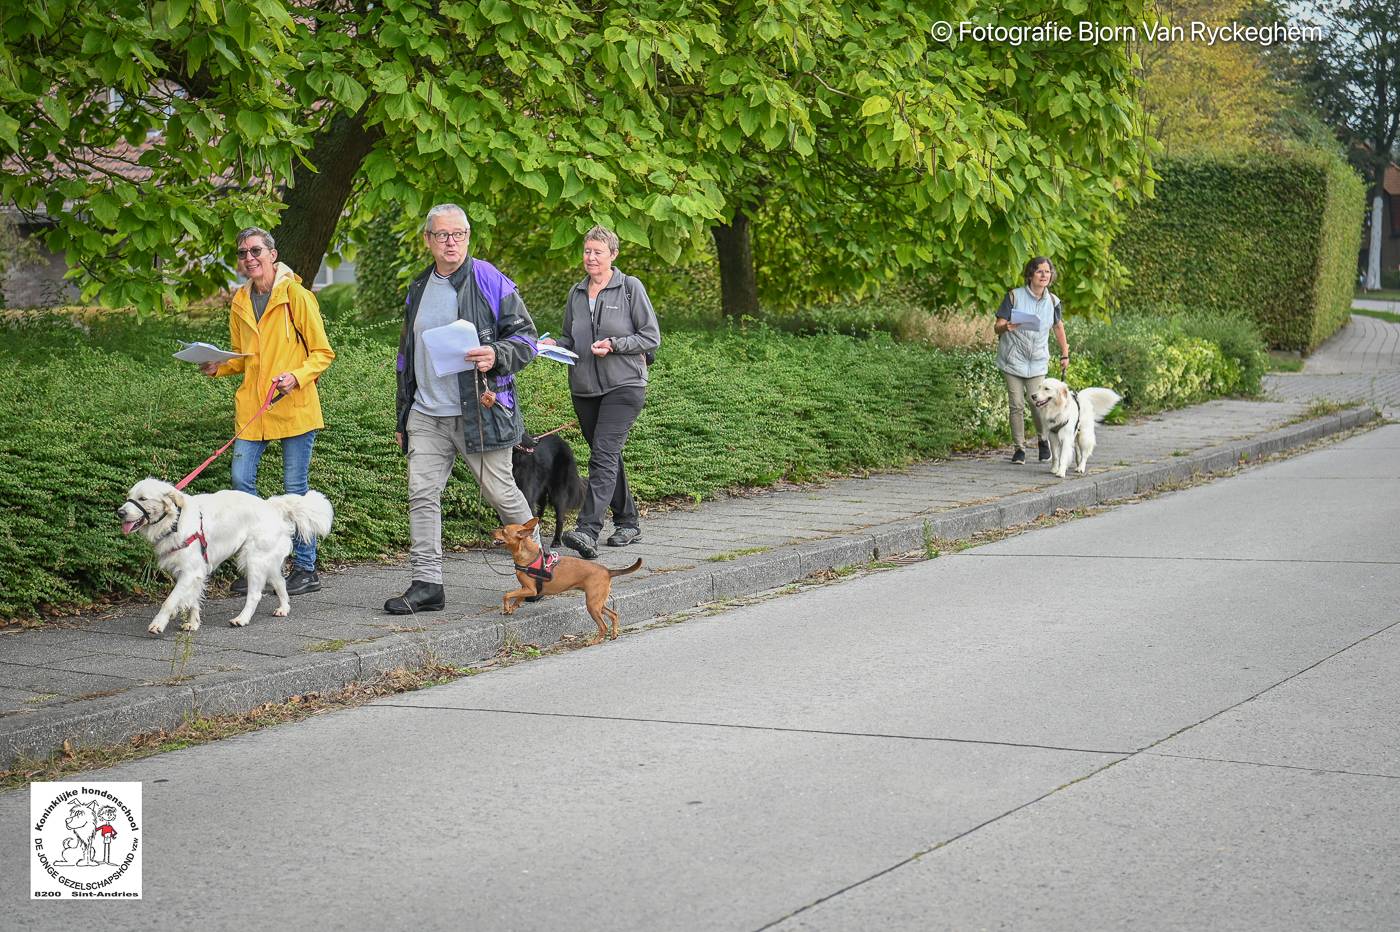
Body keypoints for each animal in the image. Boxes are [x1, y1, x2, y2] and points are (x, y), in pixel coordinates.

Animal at [115, 475, 333, 635]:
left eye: (143, 499)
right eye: (128, 497)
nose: (120, 512)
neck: (174, 521)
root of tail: (271, 505)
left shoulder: (190, 572)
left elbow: (170, 601)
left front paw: (158, 624)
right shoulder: (194, 572)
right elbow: (193, 600)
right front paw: (193, 623)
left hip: (252, 560)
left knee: (255, 594)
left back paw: (241, 619)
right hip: (266, 560)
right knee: (280, 582)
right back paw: (283, 608)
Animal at [492, 514, 644, 638]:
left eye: (504, 531)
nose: (490, 531)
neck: (527, 555)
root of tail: (607, 570)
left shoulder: (530, 589)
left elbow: (507, 595)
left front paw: (506, 607)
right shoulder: (525, 589)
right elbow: (517, 599)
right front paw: (510, 609)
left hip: (592, 605)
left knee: (603, 626)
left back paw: (594, 641)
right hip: (598, 602)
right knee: (613, 614)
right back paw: (614, 634)